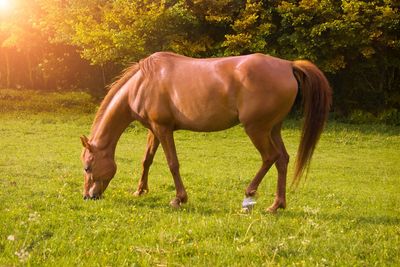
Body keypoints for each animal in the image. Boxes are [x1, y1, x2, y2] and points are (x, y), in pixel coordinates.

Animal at [79, 51, 332, 213]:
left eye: (88, 167)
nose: (88, 196)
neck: (142, 83)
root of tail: (288, 65)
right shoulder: (154, 129)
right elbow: (147, 160)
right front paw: (140, 190)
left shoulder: (163, 129)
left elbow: (172, 163)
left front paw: (179, 199)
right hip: (273, 129)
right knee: (283, 160)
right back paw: (277, 205)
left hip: (257, 129)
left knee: (270, 157)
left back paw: (249, 196)